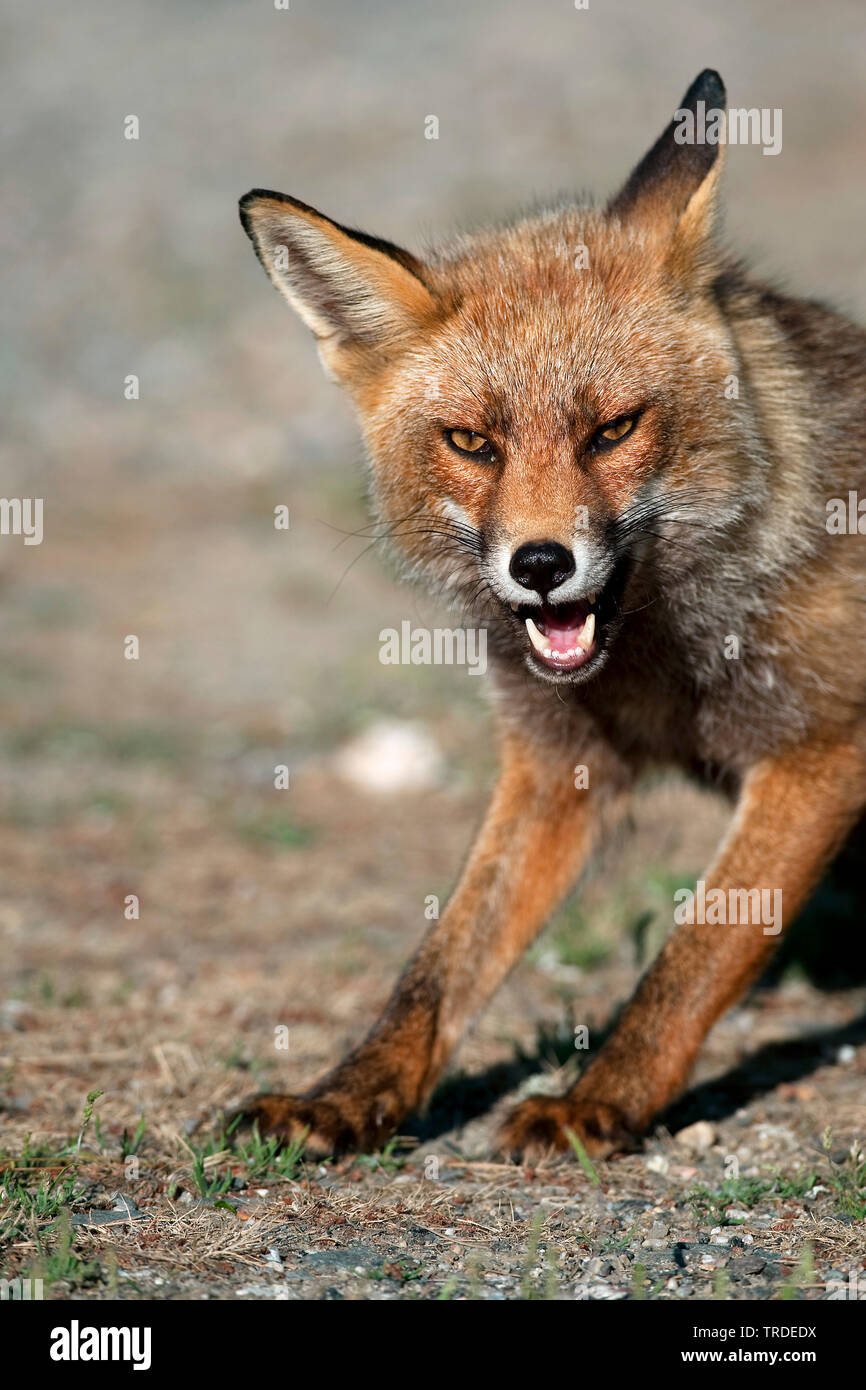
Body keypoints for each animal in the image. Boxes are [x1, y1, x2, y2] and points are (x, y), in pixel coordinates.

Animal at [236, 70, 866, 1158]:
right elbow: (440, 965)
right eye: (471, 442)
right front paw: (349, 1095)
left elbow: (695, 952)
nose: (539, 565)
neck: (657, 664)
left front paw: (600, 1100)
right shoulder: (555, 765)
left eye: (612, 430)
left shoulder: (818, 750)